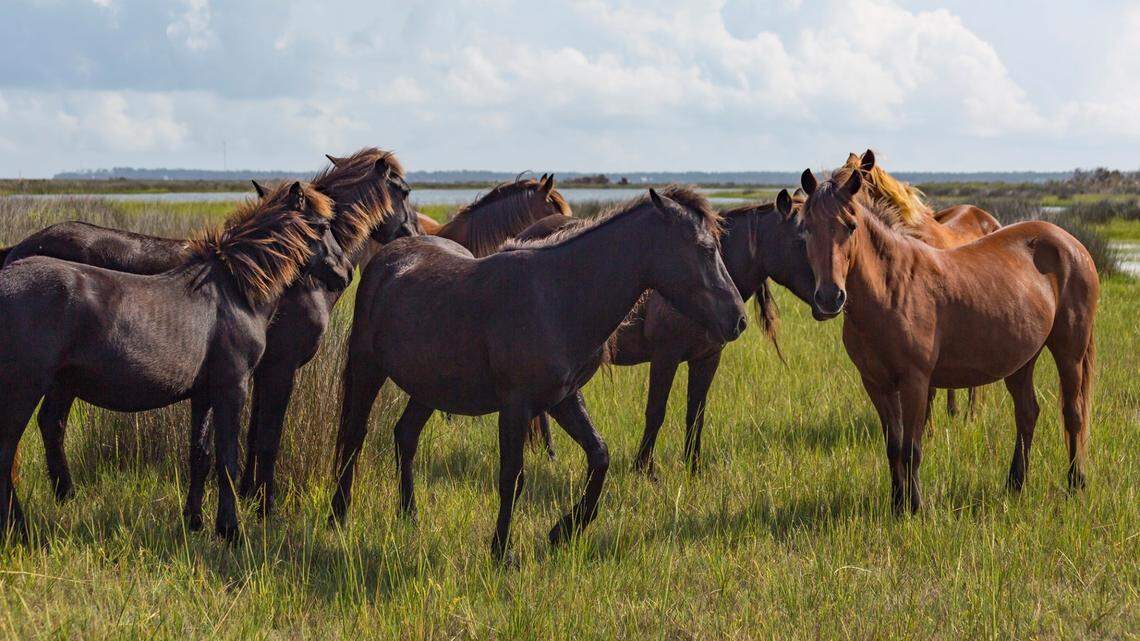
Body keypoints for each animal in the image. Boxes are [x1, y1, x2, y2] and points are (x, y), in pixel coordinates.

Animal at [0, 148, 419, 516]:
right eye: (404, 190)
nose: (414, 234)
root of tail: (18, 250)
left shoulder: (253, 373)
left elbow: (249, 436)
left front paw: (244, 498)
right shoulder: (279, 369)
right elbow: (268, 438)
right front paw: (264, 507)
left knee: (49, 425)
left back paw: (64, 498)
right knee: (50, 425)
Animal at [329, 187, 747, 562]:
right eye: (706, 249)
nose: (738, 319)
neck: (558, 298)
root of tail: (386, 259)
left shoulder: (563, 399)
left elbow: (600, 456)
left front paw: (564, 530)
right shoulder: (516, 406)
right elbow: (512, 477)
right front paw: (502, 552)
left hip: (431, 386)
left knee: (406, 436)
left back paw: (409, 515)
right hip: (366, 368)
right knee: (353, 437)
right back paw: (339, 515)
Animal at [513, 189, 818, 477]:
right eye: (801, 240)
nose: (828, 299)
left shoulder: (707, 359)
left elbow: (696, 414)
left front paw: (694, 469)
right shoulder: (665, 357)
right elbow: (655, 412)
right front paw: (644, 470)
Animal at [794, 163, 1098, 514]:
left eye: (851, 226)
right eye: (806, 229)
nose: (829, 298)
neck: (891, 289)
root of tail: (1071, 243)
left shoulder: (915, 381)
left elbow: (912, 447)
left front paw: (915, 507)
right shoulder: (876, 383)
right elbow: (893, 446)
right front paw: (896, 503)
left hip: (1070, 351)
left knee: (1073, 413)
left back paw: (1076, 483)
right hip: (1022, 359)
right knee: (1027, 413)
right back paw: (1015, 484)